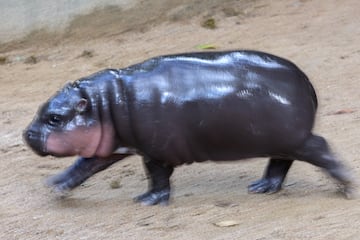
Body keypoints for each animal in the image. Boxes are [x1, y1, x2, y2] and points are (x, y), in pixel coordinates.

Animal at [23, 50, 354, 204]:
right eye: (42, 109)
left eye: (55, 118)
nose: (27, 134)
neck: (105, 102)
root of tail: (306, 80)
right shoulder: (111, 143)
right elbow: (85, 166)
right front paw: (56, 186)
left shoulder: (153, 151)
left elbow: (157, 176)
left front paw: (147, 201)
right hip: (282, 140)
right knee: (281, 162)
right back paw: (261, 187)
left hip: (296, 138)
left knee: (320, 148)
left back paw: (348, 187)